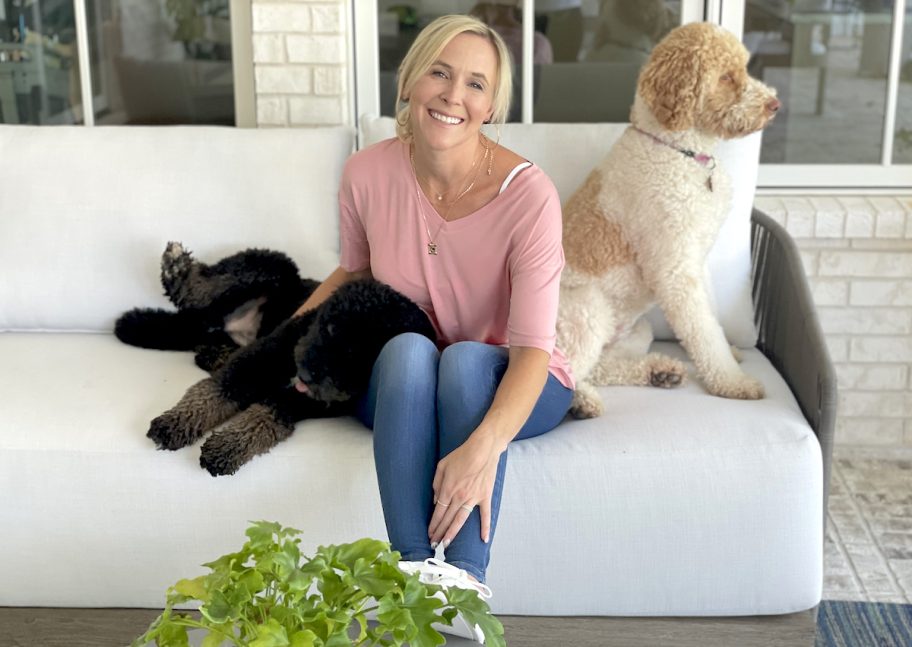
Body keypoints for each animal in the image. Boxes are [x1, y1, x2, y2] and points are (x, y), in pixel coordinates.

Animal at [560, 21, 780, 420]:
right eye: (726, 76)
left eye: (743, 67)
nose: (775, 105)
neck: (679, 150)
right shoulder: (675, 269)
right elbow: (701, 329)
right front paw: (733, 381)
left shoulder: (697, 259)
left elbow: (709, 319)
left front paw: (730, 352)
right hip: (586, 310)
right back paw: (581, 401)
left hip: (637, 330)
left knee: (599, 366)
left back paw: (658, 371)